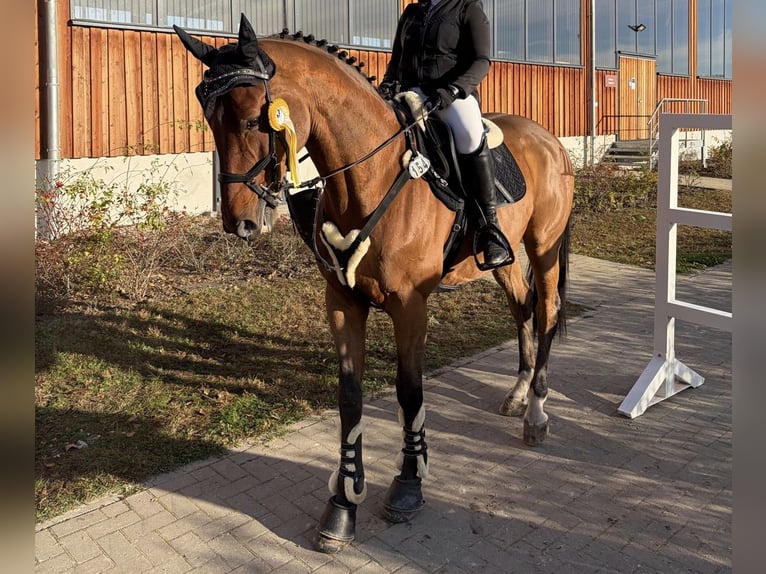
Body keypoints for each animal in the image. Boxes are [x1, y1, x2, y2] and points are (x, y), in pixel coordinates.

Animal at [175, 14, 574, 553]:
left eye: (255, 118)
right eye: (210, 117)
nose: (240, 223)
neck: (369, 177)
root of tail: (547, 138)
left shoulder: (410, 306)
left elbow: (410, 393)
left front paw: (408, 486)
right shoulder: (343, 302)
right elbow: (350, 397)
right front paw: (343, 504)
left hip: (544, 247)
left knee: (546, 311)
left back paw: (536, 413)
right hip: (506, 260)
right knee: (523, 309)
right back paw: (517, 393)